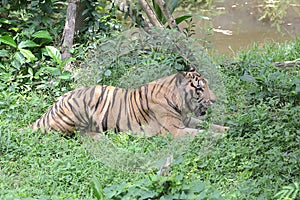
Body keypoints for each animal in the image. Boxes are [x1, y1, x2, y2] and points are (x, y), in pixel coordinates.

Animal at [29, 66, 229, 138]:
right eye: (200, 89)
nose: (215, 100)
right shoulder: (175, 130)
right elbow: (202, 133)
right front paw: (224, 137)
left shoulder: (186, 120)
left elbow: (210, 125)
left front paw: (228, 129)